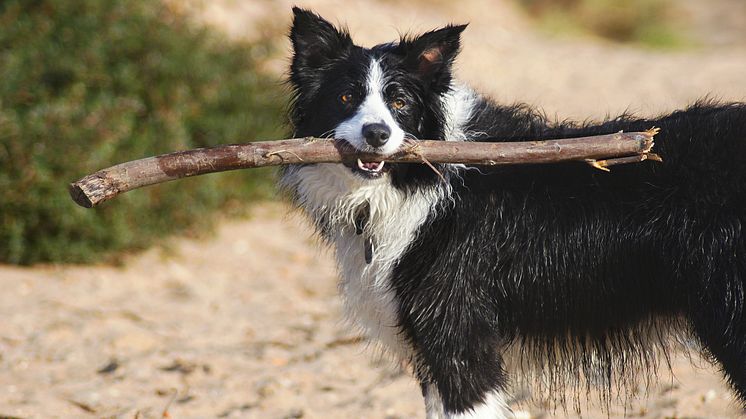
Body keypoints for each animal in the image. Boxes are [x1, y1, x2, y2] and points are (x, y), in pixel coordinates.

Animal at [280, 7, 744, 419]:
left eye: (400, 103)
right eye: (345, 97)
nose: (377, 134)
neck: (419, 181)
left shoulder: (458, 338)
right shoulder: (430, 350)